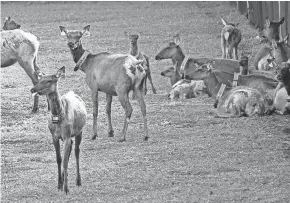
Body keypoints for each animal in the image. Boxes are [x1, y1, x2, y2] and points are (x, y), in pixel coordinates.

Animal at [31, 66, 87, 194]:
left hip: (79, 131)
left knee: (76, 151)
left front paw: (66, 188)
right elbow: (59, 159)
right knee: (70, 149)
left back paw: (78, 181)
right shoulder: (55, 136)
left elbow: (65, 161)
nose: (33, 89)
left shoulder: (67, 135)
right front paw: (59, 185)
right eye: (39, 79)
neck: (57, 116)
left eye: (49, 80)